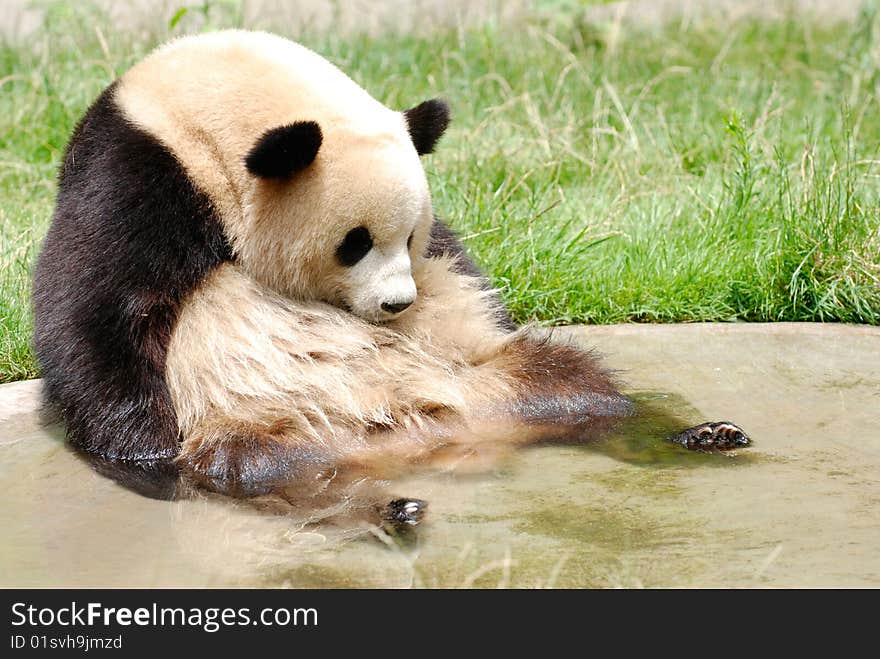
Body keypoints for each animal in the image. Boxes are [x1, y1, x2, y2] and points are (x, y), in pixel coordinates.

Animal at [31, 29, 744, 516]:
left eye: (409, 236)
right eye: (355, 243)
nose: (400, 305)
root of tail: (409, 436)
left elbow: (463, 272)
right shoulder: (138, 177)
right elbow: (92, 306)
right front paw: (144, 449)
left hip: (503, 382)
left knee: (583, 389)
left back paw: (697, 436)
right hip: (264, 430)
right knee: (265, 479)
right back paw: (383, 510)